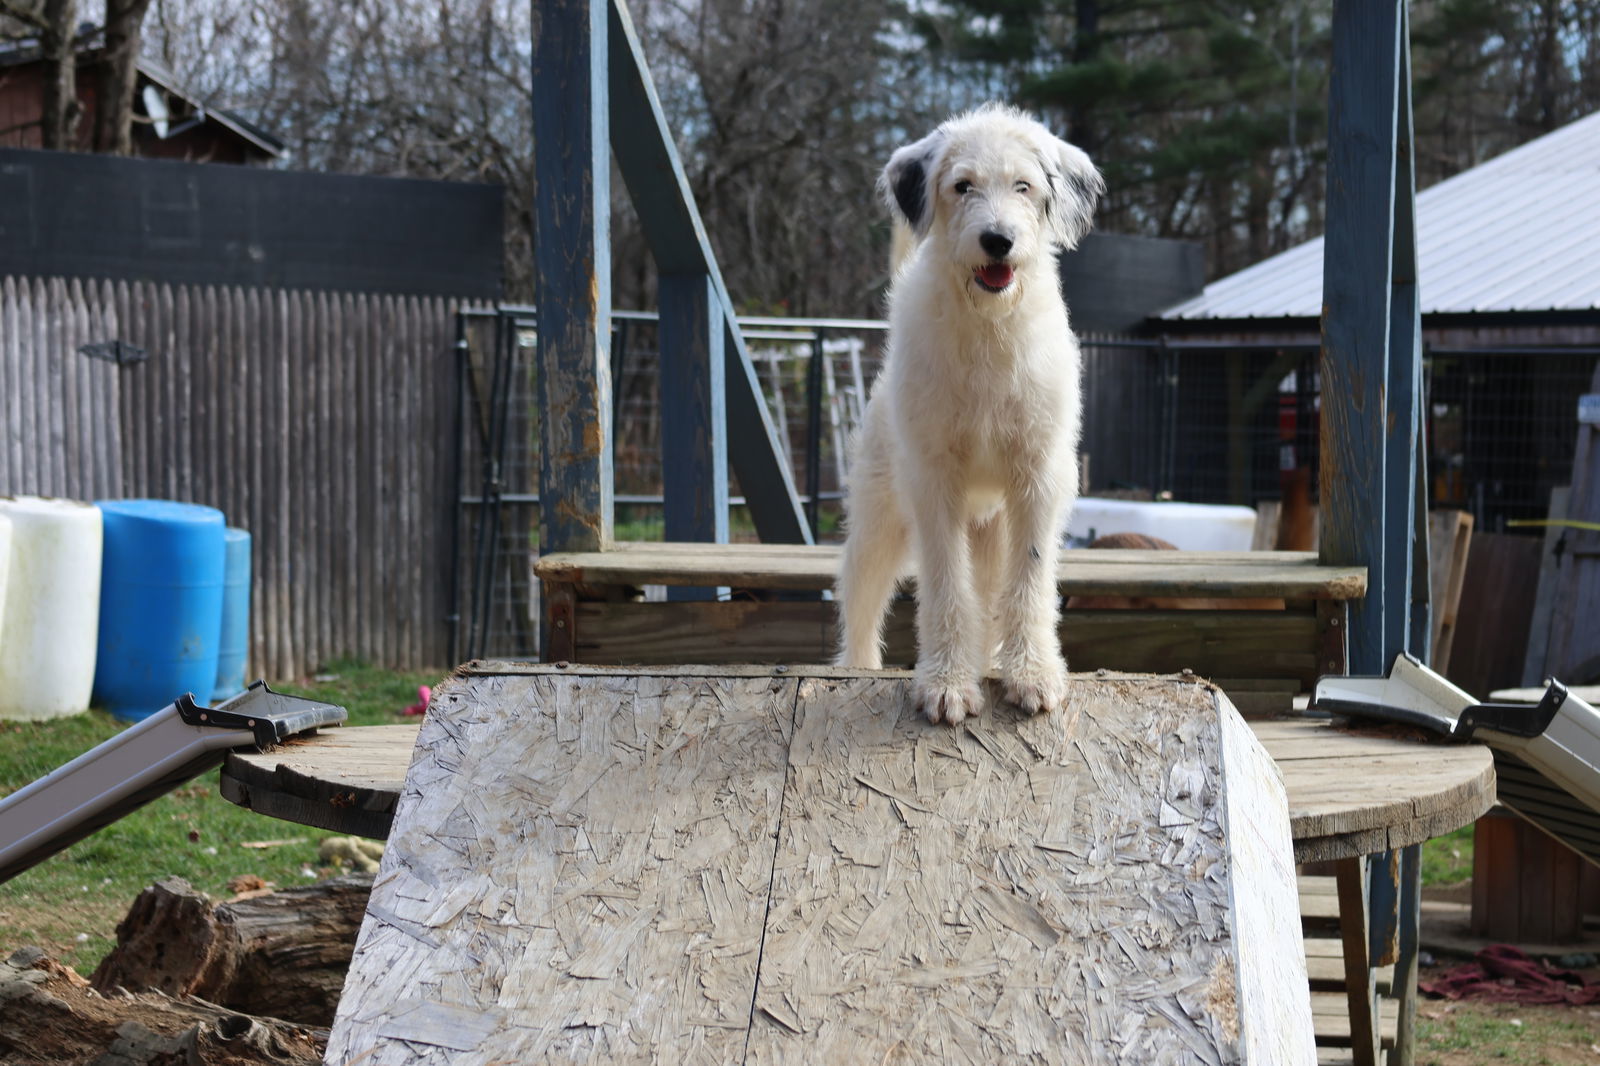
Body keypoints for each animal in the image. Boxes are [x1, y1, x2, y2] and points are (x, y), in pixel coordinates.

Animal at [838, 105, 1100, 723]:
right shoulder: (934, 482)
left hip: (990, 529)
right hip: (877, 521)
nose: (997, 240)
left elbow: (1029, 580)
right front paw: (947, 683)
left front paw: (1032, 674)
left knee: (992, 589)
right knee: (861, 601)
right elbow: (945, 585)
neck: (988, 325)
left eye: (1024, 186)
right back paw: (855, 669)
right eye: (962, 186)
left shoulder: (1039, 477)